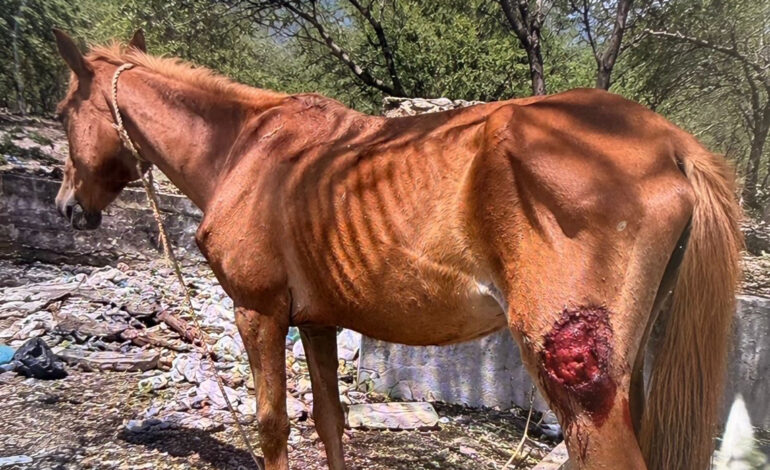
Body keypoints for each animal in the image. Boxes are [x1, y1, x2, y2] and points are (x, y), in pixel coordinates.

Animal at [52, 29, 742, 470]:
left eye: (61, 113)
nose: (66, 208)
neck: (245, 150)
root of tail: (672, 144)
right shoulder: (318, 322)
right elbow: (330, 422)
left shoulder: (259, 314)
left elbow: (274, 425)